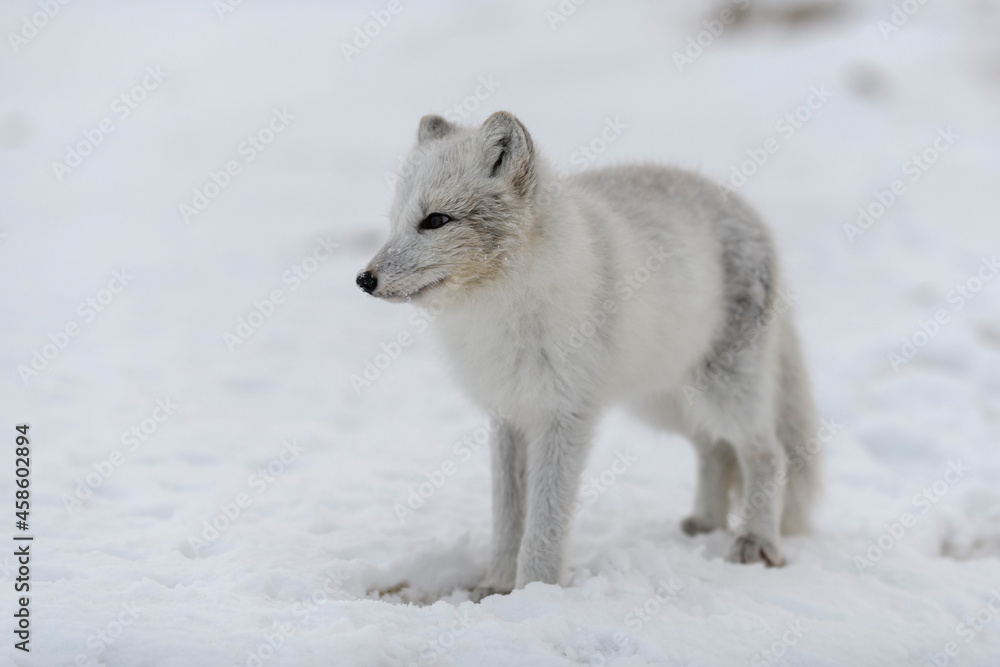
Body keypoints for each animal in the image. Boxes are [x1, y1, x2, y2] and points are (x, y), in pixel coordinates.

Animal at [357, 111, 820, 601]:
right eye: (395, 222)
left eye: (436, 220)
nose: (363, 279)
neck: (500, 309)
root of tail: (745, 209)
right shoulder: (509, 414)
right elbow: (507, 517)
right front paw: (496, 586)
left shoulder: (564, 414)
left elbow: (544, 521)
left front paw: (535, 591)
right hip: (664, 400)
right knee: (713, 447)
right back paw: (705, 523)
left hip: (725, 392)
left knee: (766, 452)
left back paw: (757, 542)